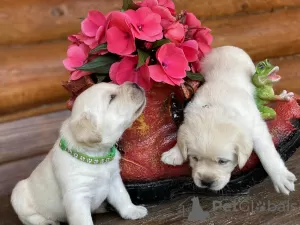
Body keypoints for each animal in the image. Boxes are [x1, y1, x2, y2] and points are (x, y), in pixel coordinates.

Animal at [11, 82, 148, 225]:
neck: (97, 155)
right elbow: (82, 219)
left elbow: (123, 196)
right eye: (112, 98)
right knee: (30, 217)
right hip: (19, 195)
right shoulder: (77, 196)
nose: (135, 84)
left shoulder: (114, 180)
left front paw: (132, 210)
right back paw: (46, 222)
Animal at [162, 46, 296, 195]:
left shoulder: (255, 126)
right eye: (195, 158)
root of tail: (225, 47)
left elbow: (267, 153)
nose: (206, 182)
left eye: (223, 161)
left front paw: (280, 177)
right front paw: (174, 153)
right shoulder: (189, 111)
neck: (218, 106)